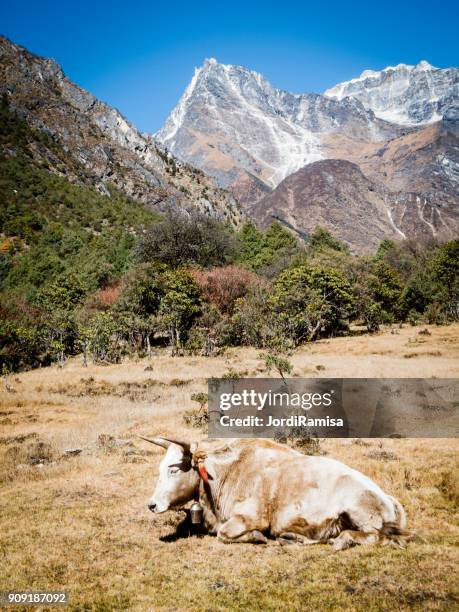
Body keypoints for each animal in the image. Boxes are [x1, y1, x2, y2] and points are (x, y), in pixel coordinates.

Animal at [143, 436, 410, 548]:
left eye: (174, 469)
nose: (152, 505)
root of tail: (387, 498)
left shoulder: (250, 517)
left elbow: (224, 533)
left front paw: (257, 537)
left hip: (361, 515)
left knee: (372, 536)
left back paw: (340, 541)